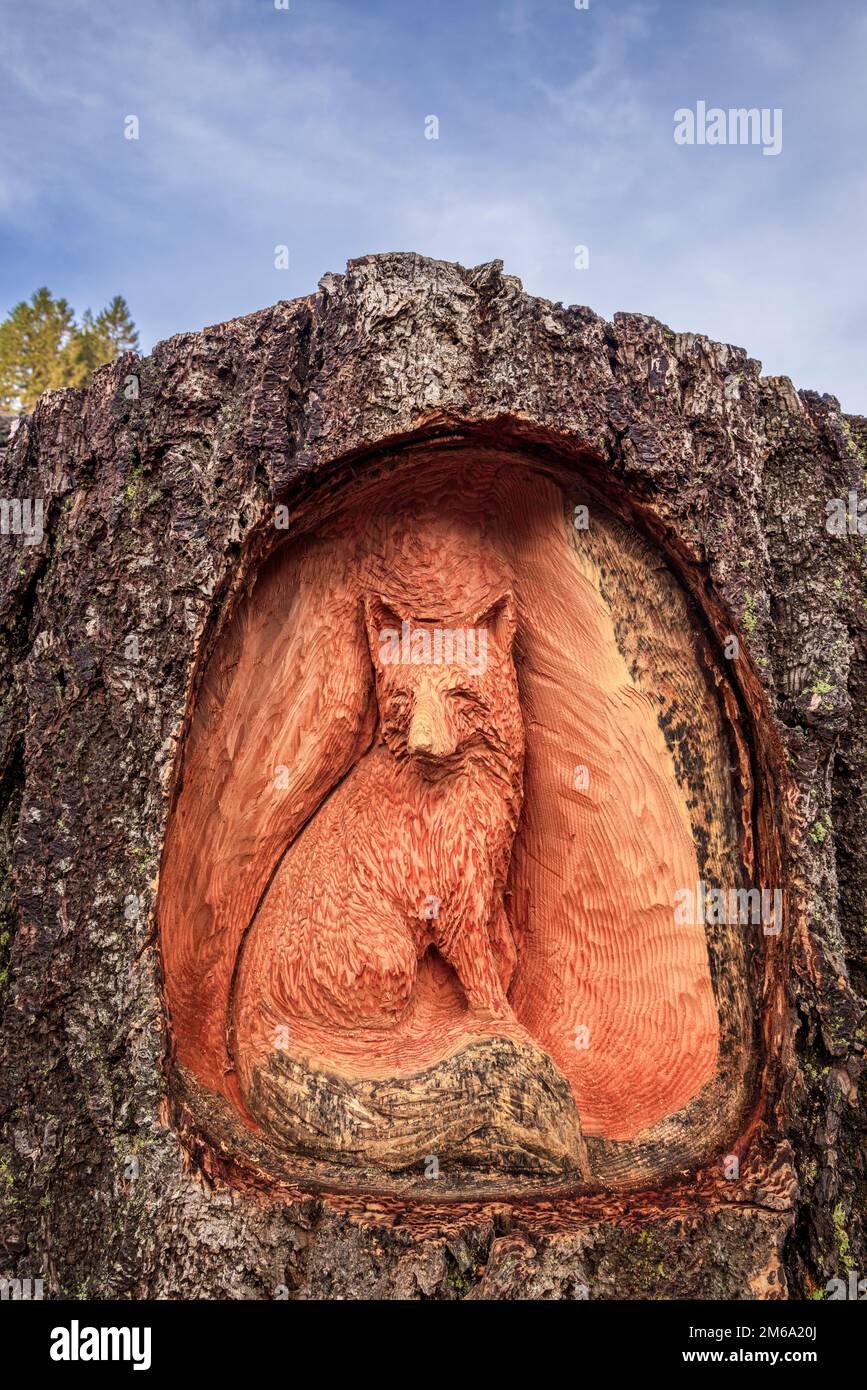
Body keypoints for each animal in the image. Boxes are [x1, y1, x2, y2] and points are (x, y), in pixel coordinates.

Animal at [231, 586, 526, 1077]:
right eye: (406, 697)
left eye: (458, 693)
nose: (422, 746)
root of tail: (245, 1011)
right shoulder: (450, 894)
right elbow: (481, 972)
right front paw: (505, 1026)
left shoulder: (485, 872)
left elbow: (504, 951)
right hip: (392, 954)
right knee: (369, 1045)